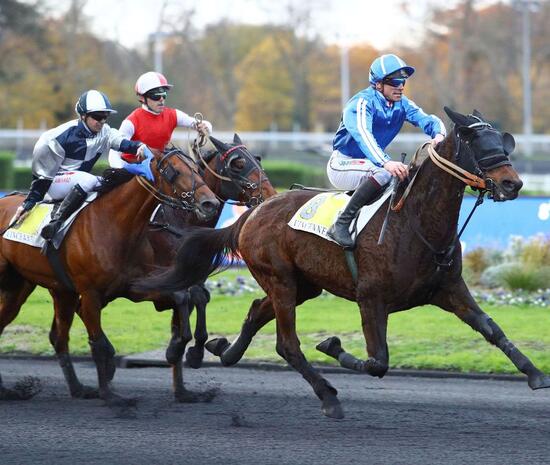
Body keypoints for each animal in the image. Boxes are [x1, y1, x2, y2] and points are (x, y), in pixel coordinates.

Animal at [0, 147, 220, 404]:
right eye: (174, 170)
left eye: (197, 168)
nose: (210, 203)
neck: (116, 223)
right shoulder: (90, 294)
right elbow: (99, 344)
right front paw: (110, 393)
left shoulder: (135, 286)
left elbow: (182, 296)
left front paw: (182, 350)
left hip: (32, 288)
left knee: (55, 336)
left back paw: (74, 389)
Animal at [46, 135, 280, 402]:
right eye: (238, 164)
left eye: (258, 160)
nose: (271, 195)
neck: (180, 222)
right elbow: (189, 299)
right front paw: (184, 349)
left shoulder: (188, 275)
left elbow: (199, 298)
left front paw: (191, 356)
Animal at [130, 107, 550, 418]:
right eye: (477, 142)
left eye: (501, 140)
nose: (513, 183)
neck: (415, 223)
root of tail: (254, 213)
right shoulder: (371, 298)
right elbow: (378, 362)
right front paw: (332, 345)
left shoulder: (448, 288)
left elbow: (492, 329)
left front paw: (535, 373)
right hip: (281, 279)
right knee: (287, 344)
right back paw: (327, 396)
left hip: (302, 285)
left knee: (256, 309)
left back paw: (224, 350)